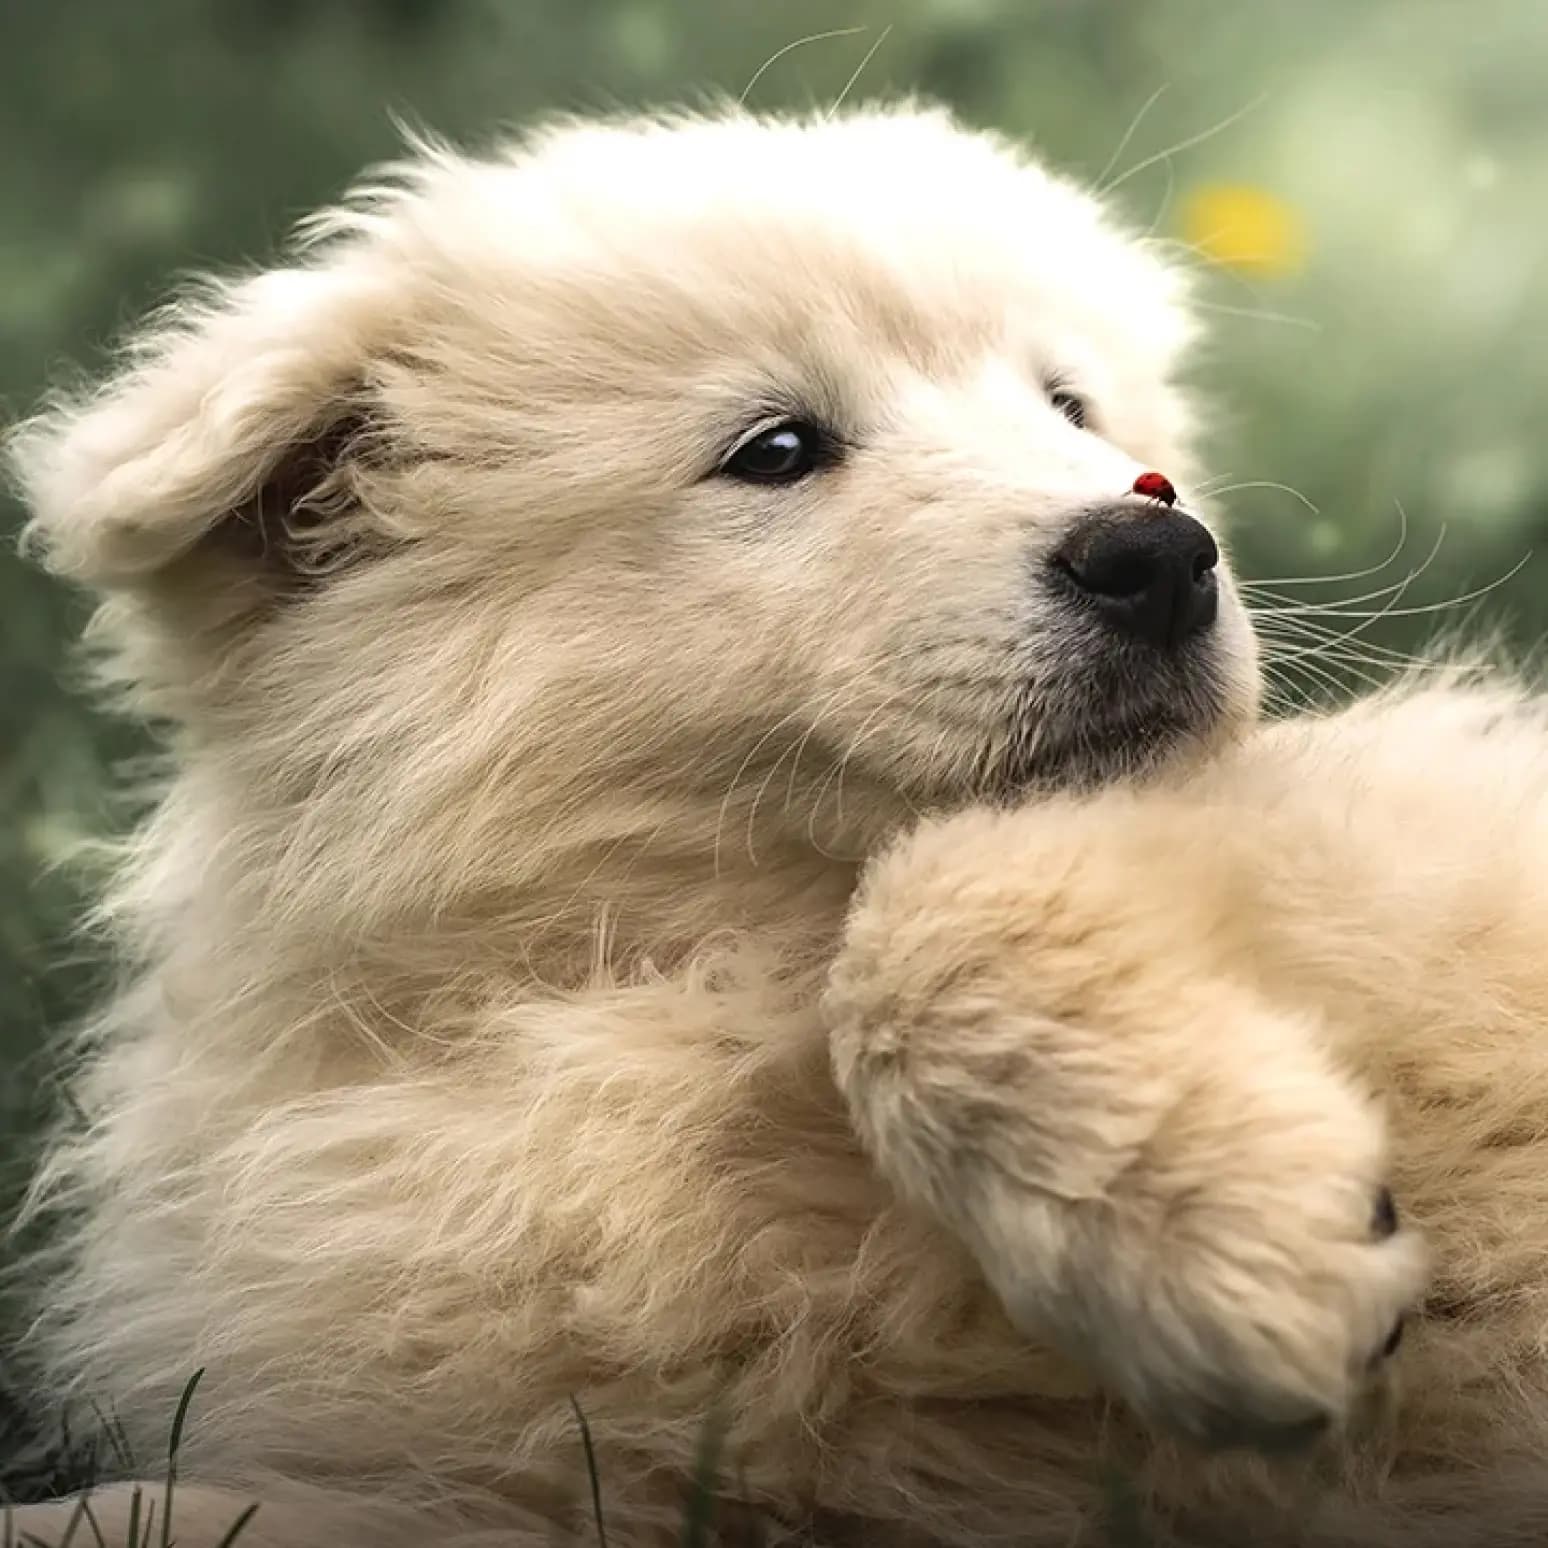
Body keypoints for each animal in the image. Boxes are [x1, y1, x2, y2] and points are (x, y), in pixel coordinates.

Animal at [12, 102, 1548, 1541]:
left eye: (1071, 408)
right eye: (778, 450)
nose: (1160, 554)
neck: (704, 971)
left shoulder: (1409, 813)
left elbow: (945, 903)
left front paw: (1237, 1247)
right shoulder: (532, 1459)